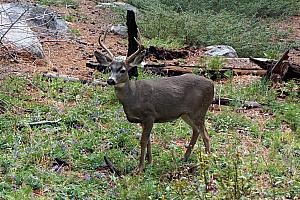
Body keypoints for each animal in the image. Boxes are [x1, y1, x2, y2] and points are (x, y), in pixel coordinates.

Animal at [94, 29, 213, 173]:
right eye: (110, 68)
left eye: (123, 70)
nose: (110, 80)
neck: (133, 96)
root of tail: (212, 84)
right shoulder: (142, 120)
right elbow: (149, 140)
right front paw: (149, 162)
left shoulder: (149, 115)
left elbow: (143, 141)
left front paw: (139, 168)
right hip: (186, 113)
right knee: (196, 131)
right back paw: (185, 158)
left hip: (199, 110)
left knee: (205, 135)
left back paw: (206, 162)